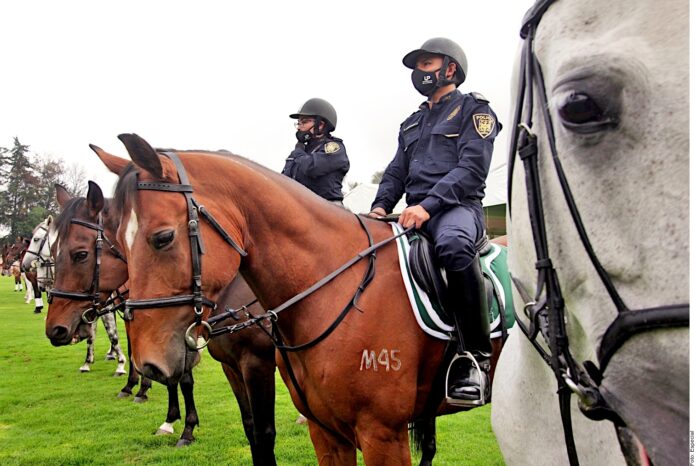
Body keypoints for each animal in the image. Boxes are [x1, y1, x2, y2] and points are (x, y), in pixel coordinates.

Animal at [23, 216, 128, 374]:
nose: (24, 264)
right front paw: (88, 362)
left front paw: (121, 364)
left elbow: (112, 333)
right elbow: (93, 334)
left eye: (36, 239)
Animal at [46, 182, 278, 462]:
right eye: (53, 251)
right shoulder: (222, 362)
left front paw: (183, 426)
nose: (55, 328)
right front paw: (169, 418)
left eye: (80, 254)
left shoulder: (255, 363)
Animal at [98, 133, 506, 464]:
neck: (333, 287)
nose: (148, 364)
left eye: (162, 238)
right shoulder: (323, 431)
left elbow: (262, 433)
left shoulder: (382, 435)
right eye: (117, 244)